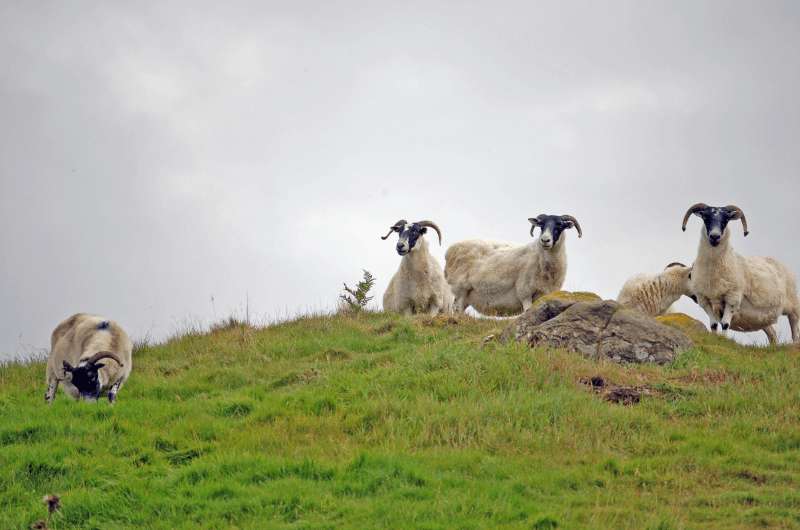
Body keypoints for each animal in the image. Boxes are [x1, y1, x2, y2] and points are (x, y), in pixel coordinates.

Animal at [444, 213, 580, 316]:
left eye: (560, 225)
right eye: (541, 225)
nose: (545, 240)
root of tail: (450, 250)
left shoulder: (544, 295)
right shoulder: (525, 293)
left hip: (467, 295)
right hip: (460, 288)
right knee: (457, 309)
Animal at [680, 202, 800, 342]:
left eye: (726, 220)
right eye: (705, 217)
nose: (715, 236)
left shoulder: (732, 297)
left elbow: (725, 324)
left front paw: (723, 341)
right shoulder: (704, 300)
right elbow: (714, 325)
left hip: (793, 306)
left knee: (795, 332)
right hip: (763, 319)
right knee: (773, 335)